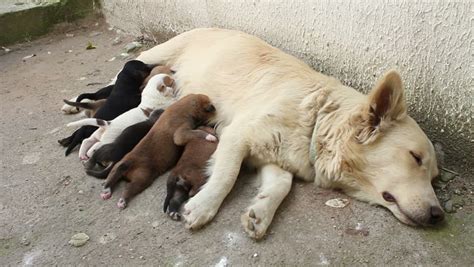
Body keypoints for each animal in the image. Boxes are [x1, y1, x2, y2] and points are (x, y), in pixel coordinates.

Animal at [90, 28, 442, 240]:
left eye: (434, 176)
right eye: (415, 158)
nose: (438, 215)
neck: (316, 119)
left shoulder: (274, 156)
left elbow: (281, 186)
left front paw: (260, 212)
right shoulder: (235, 136)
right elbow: (226, 176)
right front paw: (203, 206)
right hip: (151, 58)